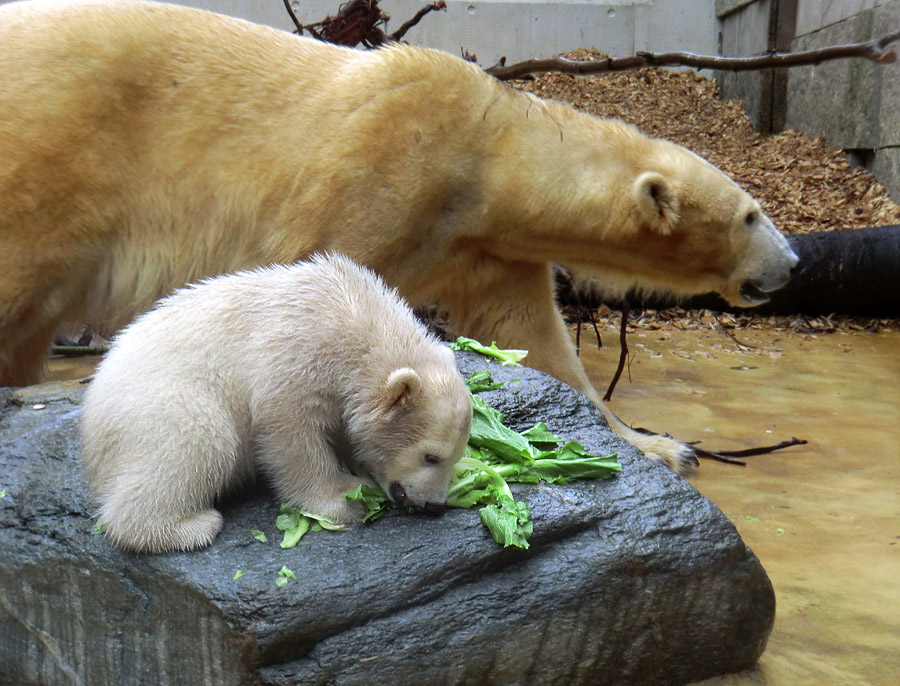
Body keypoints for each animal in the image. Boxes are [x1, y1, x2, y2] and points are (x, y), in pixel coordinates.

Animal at [0, 1, 800, 472]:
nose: (793, 263)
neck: (487, 153)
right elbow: (310, 280)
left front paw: (662, 446)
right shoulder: (382, 167)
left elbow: (540, 345)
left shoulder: (484, 247)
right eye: (751, 215)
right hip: (53, 150)